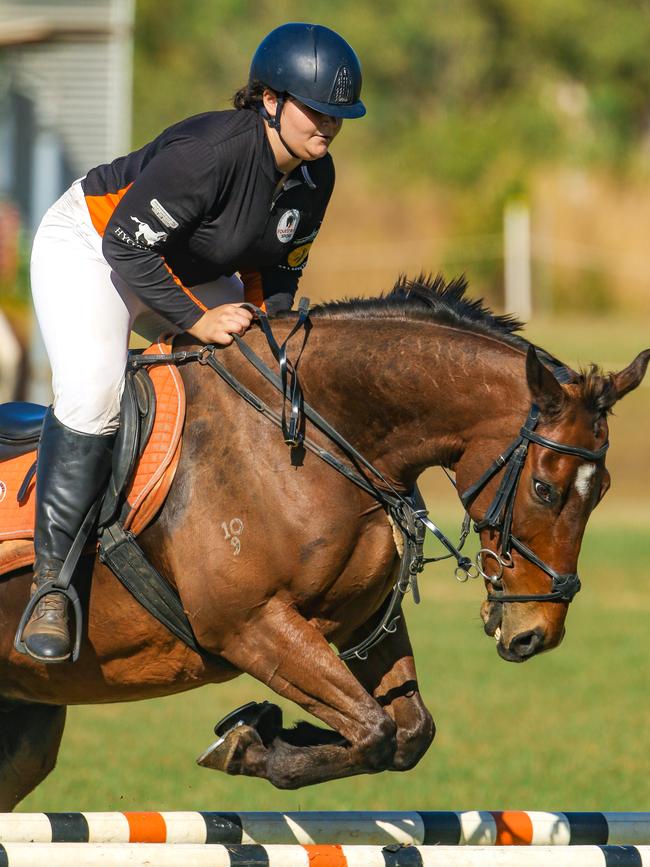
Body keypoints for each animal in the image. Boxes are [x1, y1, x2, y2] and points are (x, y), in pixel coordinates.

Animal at [0, 276, 644, 808]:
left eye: (604, 489)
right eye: (544, 488)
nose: (537, 633)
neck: (307, 432)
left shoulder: (361, 620)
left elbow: (408, 732)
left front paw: (267, 731)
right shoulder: (249, 624)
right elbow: (375, 731)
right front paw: (248, 744)